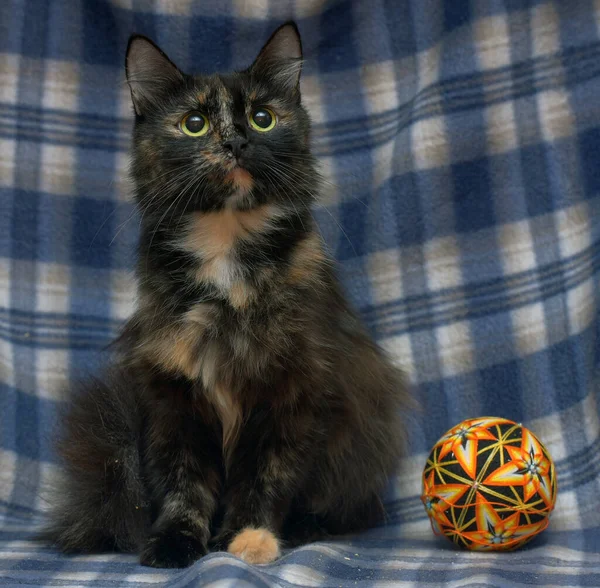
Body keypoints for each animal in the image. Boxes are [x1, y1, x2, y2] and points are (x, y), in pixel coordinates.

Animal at [41, 23, 408, 568]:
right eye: (194, 124)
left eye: (262, 118)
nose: (235, 141)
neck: (225, 248)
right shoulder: (174, 397)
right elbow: (182, 484)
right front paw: (175, 543)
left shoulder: (293, 393)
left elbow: (266, 478)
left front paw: (247, 540)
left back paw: (303, 528)